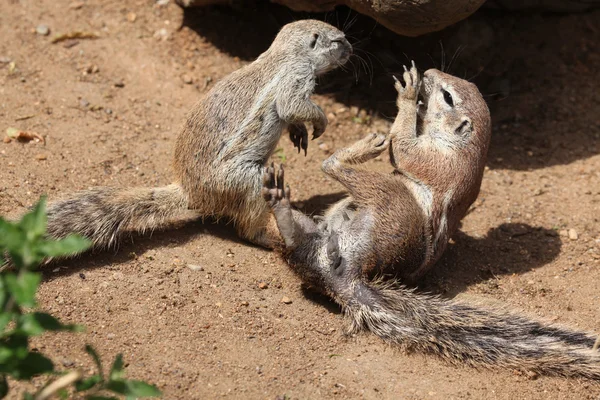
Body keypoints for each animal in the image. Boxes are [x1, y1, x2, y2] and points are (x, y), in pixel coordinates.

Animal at [41, 20, 352, 250]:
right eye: (337, 40)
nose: (351, 48)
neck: (282, 54)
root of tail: (189, 192)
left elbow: (291, 115)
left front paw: (299, 132)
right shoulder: (296, 76)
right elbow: (292, 105)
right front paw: (321, 120)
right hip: (249, 181)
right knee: (246, 226)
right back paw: (268, 239)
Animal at [264, 64, 600, 380]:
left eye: (448, 96)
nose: (429, 72)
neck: (462, 146)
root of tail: (347, 276)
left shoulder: (435, 158)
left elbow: (403, 150)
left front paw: (409, 94)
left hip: (391, 198)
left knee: (332, 166)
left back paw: (358, 149)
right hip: (310, 236)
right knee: (292, 238)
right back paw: (280, 204)